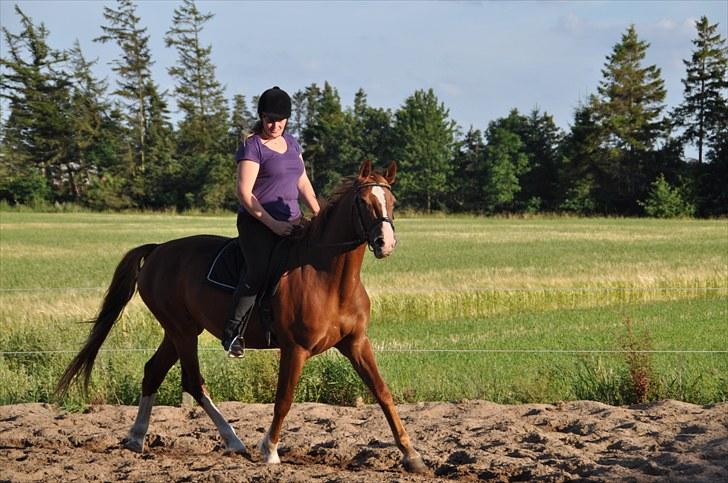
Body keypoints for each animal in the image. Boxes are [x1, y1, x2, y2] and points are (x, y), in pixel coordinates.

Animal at [55, 162, 426, 472]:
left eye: (392, 203)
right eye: (363, 202)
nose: (385, 242)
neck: (329, 278)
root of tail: (158, 249)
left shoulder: (356, 343)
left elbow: (383, 393)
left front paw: (412, 456)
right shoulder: (295, 349)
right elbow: (284, 399)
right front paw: (270, 450)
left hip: (179, 331)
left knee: (153, 372)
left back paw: (137, 437)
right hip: (183, 332)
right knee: (193, 382)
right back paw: (233, 441)